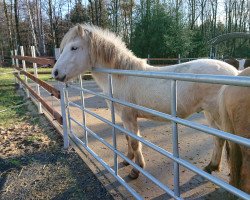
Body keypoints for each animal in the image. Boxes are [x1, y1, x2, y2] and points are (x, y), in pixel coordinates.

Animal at [52, 24, 238, 179]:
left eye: (74, 47)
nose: (55, 72)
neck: (121, 76)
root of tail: (235, 72)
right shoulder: (124, 117)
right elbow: (128, 138)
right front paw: (127, 160)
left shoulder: (129, 117)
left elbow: (135, 142)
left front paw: (136, 170)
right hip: (210, 115)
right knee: (219, 139)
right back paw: (211, 167)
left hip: (216, 115)